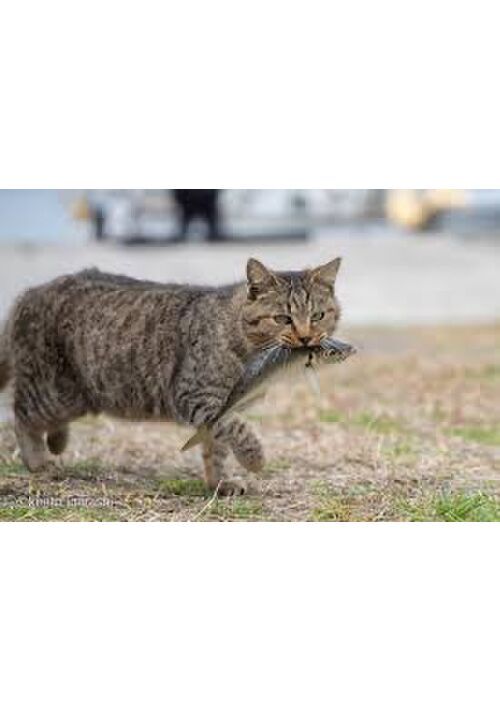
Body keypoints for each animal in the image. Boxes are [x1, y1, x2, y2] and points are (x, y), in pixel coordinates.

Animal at [0, 257, 342, 495]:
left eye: (318, 315)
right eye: (283, 318)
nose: (305, 338)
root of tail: (28, 293)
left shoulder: (217, 411)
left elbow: (216, 449)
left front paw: (219, 483)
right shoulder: (196, 398)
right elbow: (237, 429)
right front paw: (254, 458)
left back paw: (57, 441)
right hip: (56, 392)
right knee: (21, 414)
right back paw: (38, 460)